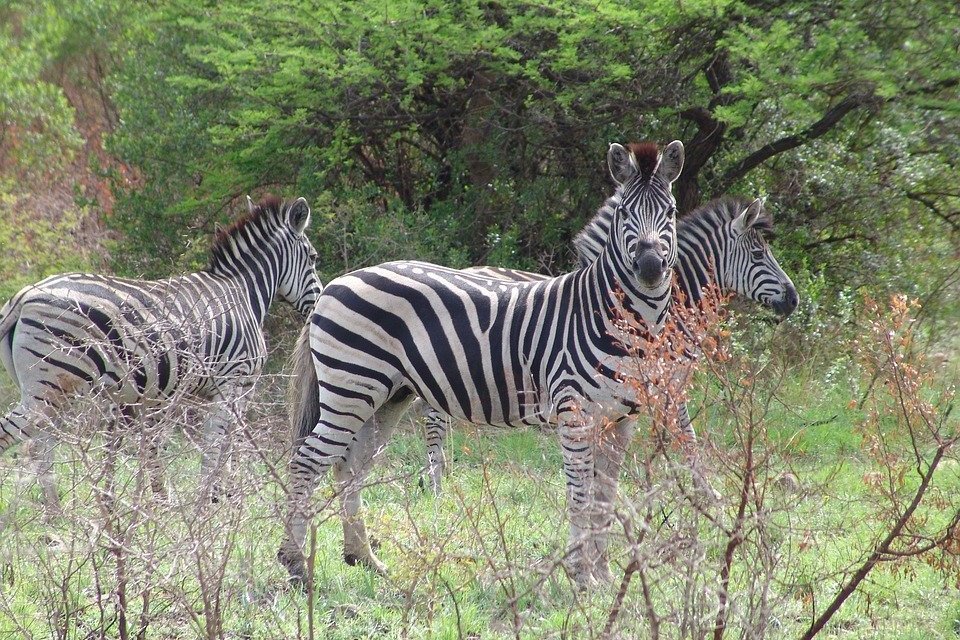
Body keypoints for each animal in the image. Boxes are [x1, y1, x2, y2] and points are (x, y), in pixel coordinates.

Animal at [0, 192, 322, 502]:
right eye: (314, 257)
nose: (318, 301)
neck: (242, 291)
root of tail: (23, 296)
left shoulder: (165, 397)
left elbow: (161, 449)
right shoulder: (235, 383)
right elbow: (222, 447)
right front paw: (216, 501)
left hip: (44, 389)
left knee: (42, 446)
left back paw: (55, 510)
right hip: (51, 385)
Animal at [282, 140, 688, 584]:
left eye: (671, 212)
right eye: (624, 214)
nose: (650, 268)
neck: (617, 317)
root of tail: (336, 283)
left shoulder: (620, 421)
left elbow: (605, 497)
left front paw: (604, 577)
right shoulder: (574, 412)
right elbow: (581, 496)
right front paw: (581, 576)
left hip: (387, 396)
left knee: (349, 466)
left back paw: (364, 557)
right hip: (350, 387)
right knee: (307, 463)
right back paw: (295, 564)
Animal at [416, 198, 800, 492]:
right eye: (758, 254)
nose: (794, 299)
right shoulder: (662, 379)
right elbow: (684, 434)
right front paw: (698, 489)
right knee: (433, 416)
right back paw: (436, 482)